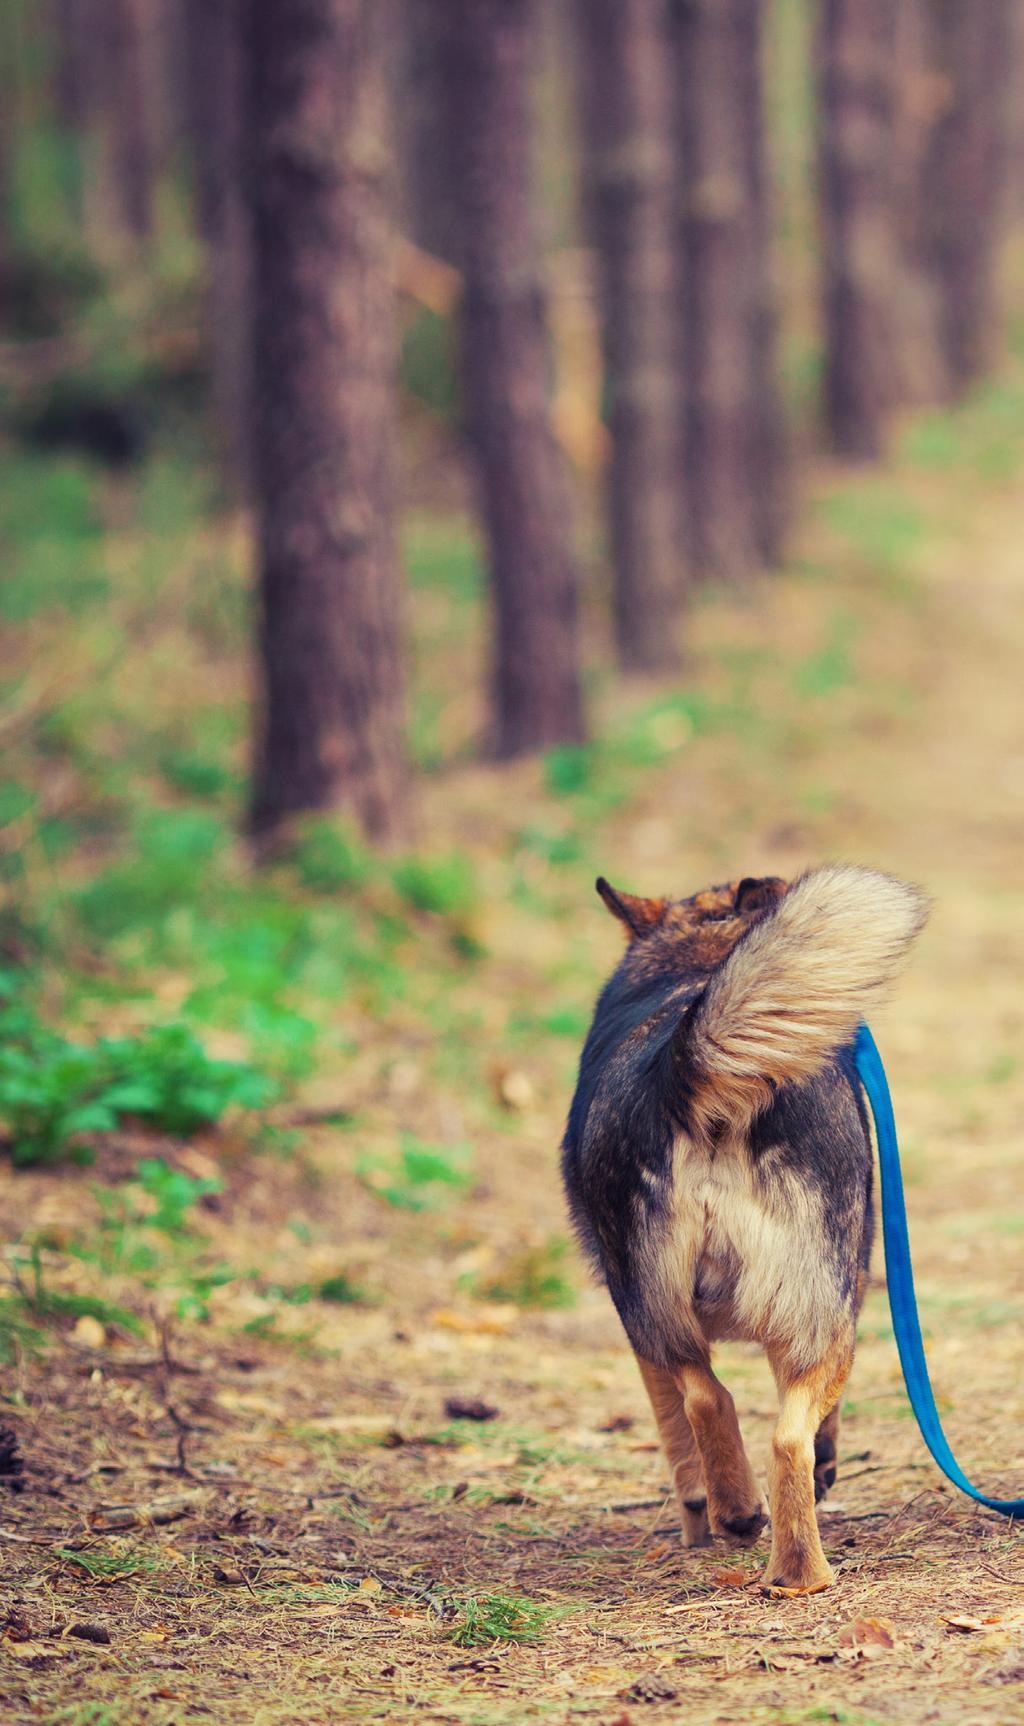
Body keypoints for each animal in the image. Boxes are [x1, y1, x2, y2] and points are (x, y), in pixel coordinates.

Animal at [559, 863, 925, 1587]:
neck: (701, 950)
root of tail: (688, 1076)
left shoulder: (640, 1334)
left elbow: (676, 1433)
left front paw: (697, 1520)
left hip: (659, 1310)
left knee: (710, 1400)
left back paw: (746, 1523)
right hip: (819, 1316)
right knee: (782, 1435)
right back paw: (796, 1565)